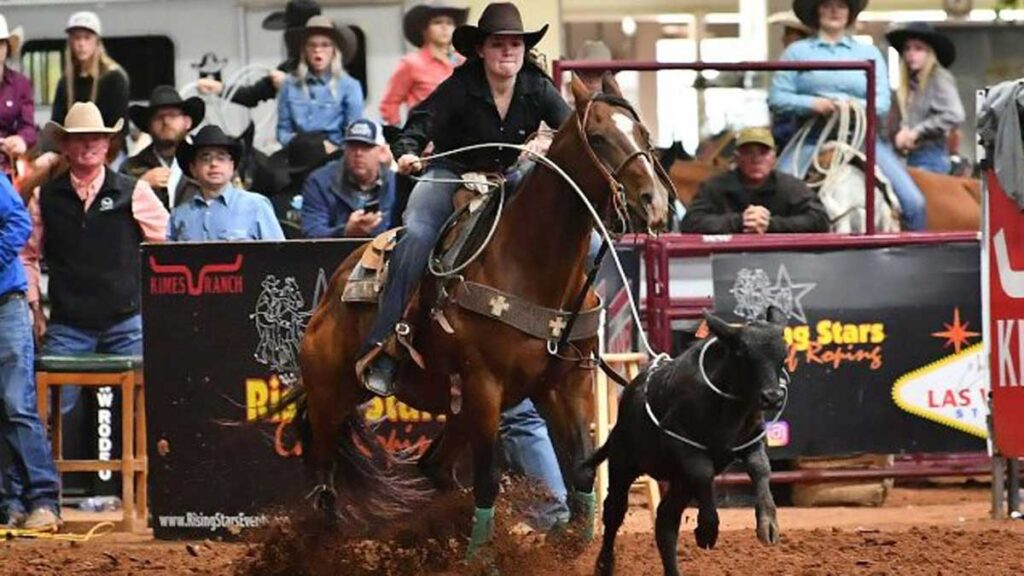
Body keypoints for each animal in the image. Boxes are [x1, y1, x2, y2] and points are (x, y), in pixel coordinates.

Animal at [288, 73, 671, 549]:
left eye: (643, 134)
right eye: (598, 138)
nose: (654, 202)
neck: (532, 262)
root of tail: (333, 291)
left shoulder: (568, 382)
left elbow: (582, 471)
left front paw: (570, 546)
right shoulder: (485, 384)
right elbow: (487, 480)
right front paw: (483, 556)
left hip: (458, 408)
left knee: (432, 466)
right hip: (331, 395)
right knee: (324, 481)